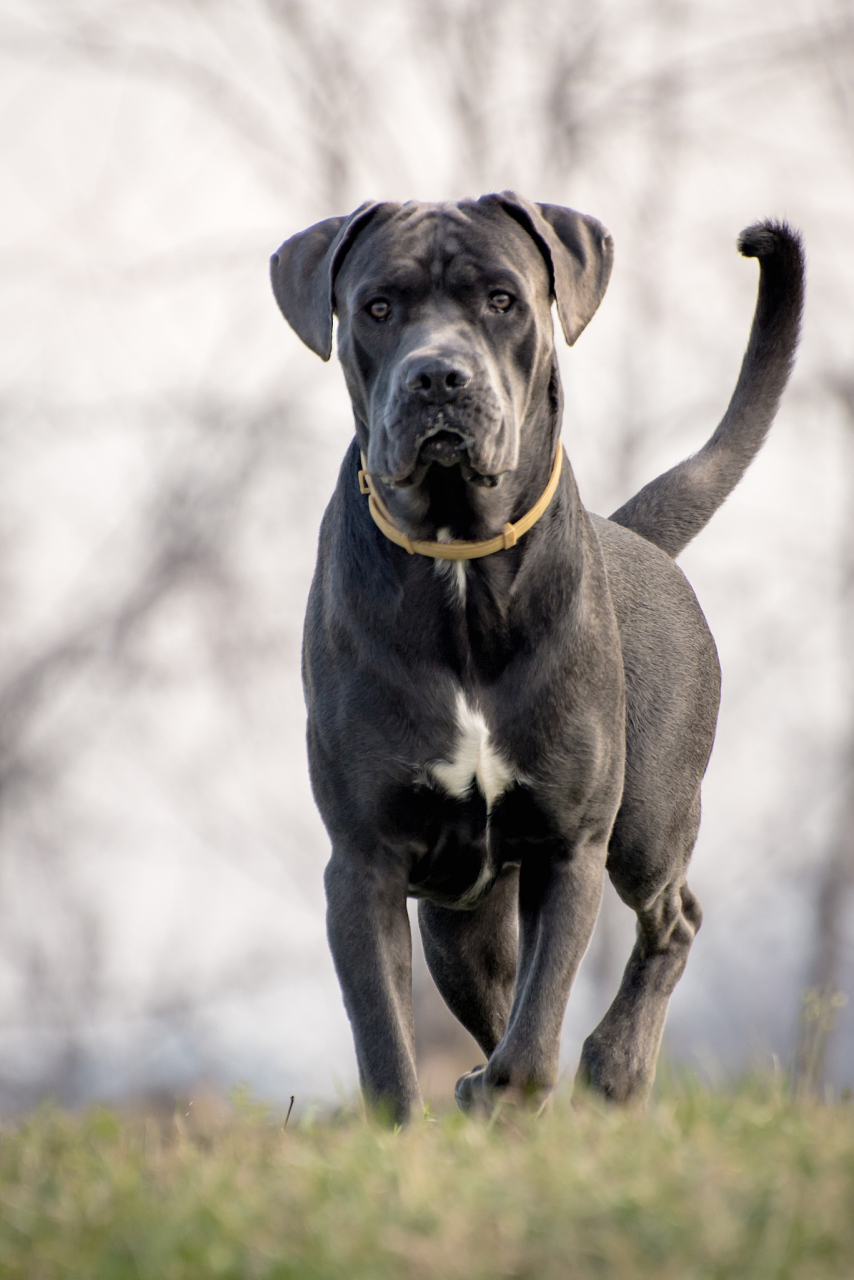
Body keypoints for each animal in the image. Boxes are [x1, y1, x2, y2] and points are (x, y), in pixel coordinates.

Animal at [270, 192, 804, 1121]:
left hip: (649, 821)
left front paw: (507, 1094)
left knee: (674, 919)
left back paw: (616, 1067)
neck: (458, 563)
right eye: (378, 307)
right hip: (460, 920)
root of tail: (636, 539)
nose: (438, 377)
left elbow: (536, 1029)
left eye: (502, 300)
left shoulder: (570, 845)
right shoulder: (364, 860)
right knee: (501, 994)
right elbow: (386, 1040)